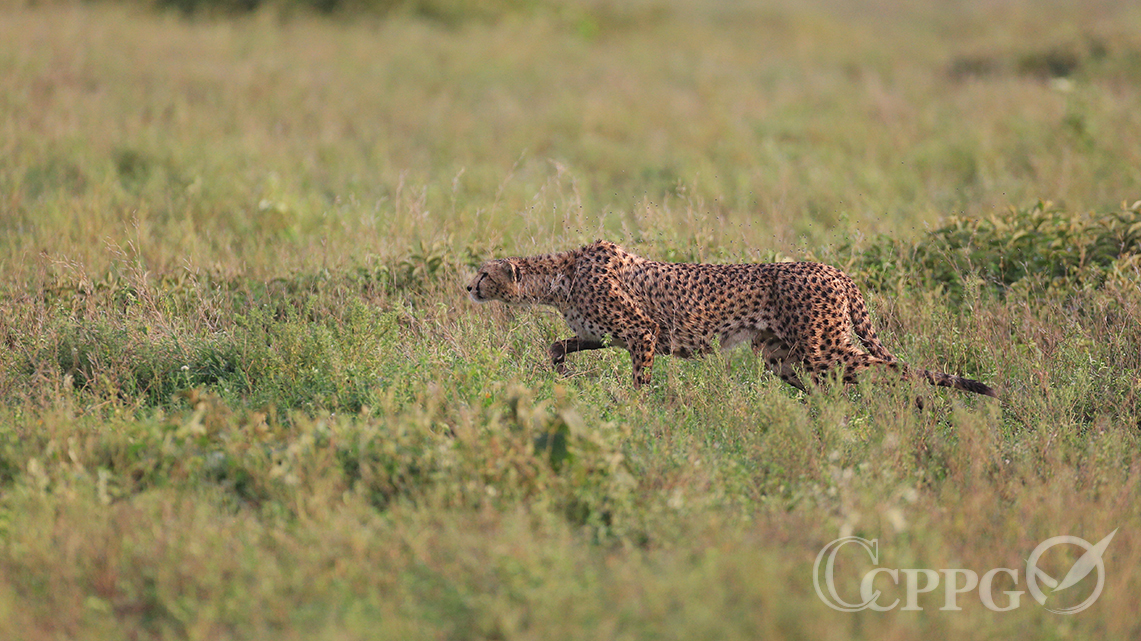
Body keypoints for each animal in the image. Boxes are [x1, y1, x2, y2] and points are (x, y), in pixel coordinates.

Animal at [467, 239, 994, 396]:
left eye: (484, 273)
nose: (467, 287)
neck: (561, 274)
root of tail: (834, 270)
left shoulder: (642, 332)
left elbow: (640, 383)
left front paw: (636, 415)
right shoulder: (607, 335)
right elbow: (557, 344)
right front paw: (560, 373)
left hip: (825, 349)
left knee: (894, 370)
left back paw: (918, 412)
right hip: (785, 358)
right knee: (835, 390)